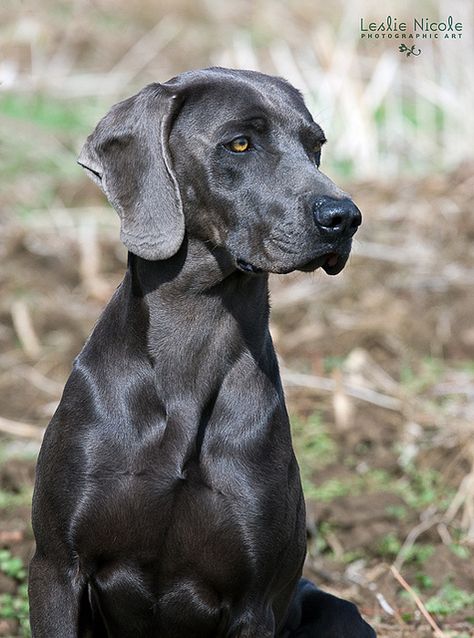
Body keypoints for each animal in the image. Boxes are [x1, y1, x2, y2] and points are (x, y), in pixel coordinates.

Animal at [29, 67, 374, 636]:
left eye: (315, 147)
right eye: (240, 143)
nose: (343, 217)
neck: (193, 337)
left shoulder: (254, 602)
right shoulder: (57, 566)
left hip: (342, 616)